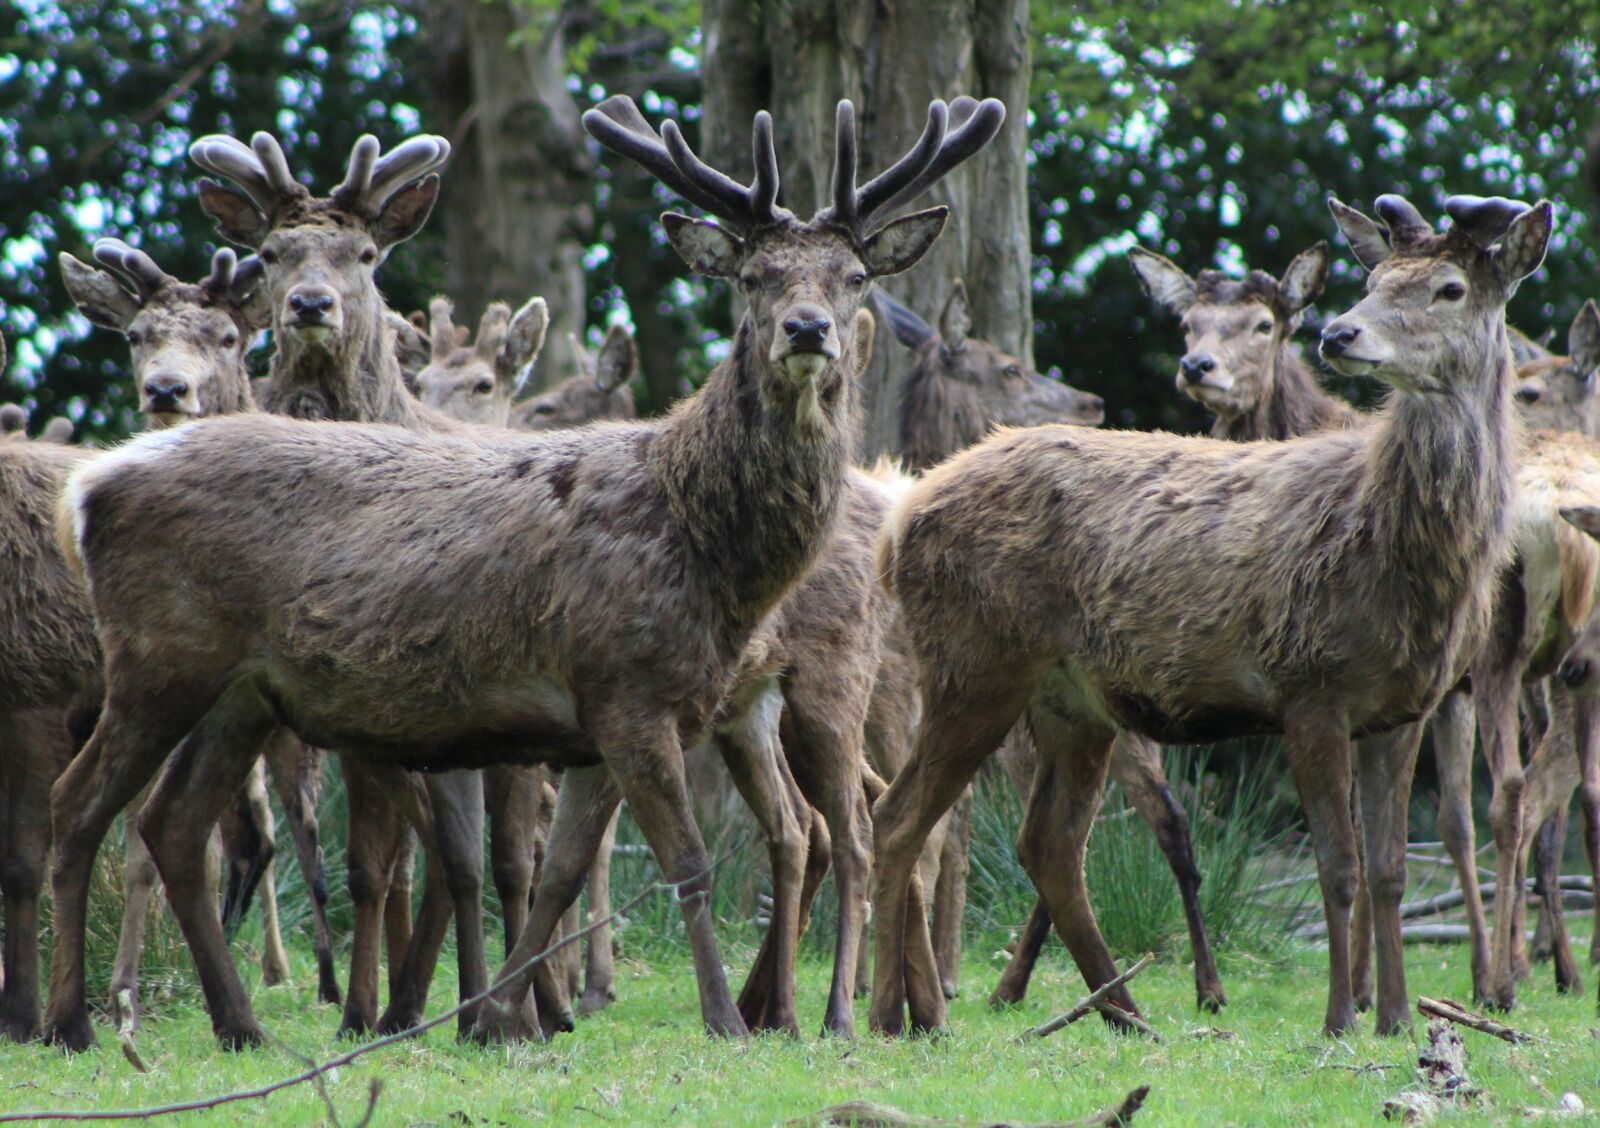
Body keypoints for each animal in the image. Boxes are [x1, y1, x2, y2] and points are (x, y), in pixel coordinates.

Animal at [0, 240, 280, 1042]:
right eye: (134, 335)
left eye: (228, 336)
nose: (166, 388)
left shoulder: (37, 687)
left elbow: (25, 861)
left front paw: (23, 1015)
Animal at [43, 95, 1001, 1049]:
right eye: (755, 276)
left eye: (854, 276)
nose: (809, 330)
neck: (700, 539)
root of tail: (89, 487)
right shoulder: (627, 690)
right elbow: (682, 863)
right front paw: (719, 1022)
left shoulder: (605, 717)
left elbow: (559, 870)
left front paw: (505, 1017)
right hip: (160, 657)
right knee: (78, 803)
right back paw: (70, 1022)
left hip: (241, 692)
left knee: (170, 825)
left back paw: (242, 1026)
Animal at [868, 193, 1551, 1039]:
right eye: (1374, 279)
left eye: (1449, 288)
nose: (1340, 332)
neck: (1394, 544)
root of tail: (901, 521)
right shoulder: (1309, 687)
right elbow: (1338, 866)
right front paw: (1340, 1019)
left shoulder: (1402, 707)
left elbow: (1390, 870)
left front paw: (1396, 1016)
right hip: (973, 662)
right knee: (898, 817)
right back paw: (893, 1014)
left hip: (1074, 702)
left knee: (1048, 844)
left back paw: (1123, 1014)